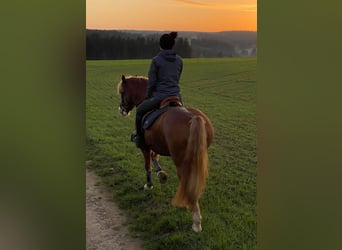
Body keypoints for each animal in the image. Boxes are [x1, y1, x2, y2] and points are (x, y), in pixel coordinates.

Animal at [117, 74, 214, 232]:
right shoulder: (156, 142)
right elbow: (154, 156)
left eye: (123, 92)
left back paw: (195, 220)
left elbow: (147, 165)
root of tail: (194, 118)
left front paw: (149, 184)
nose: (121, 109)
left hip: (181, 160)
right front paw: (161, 174)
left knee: (186, 181)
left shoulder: (145, 146)